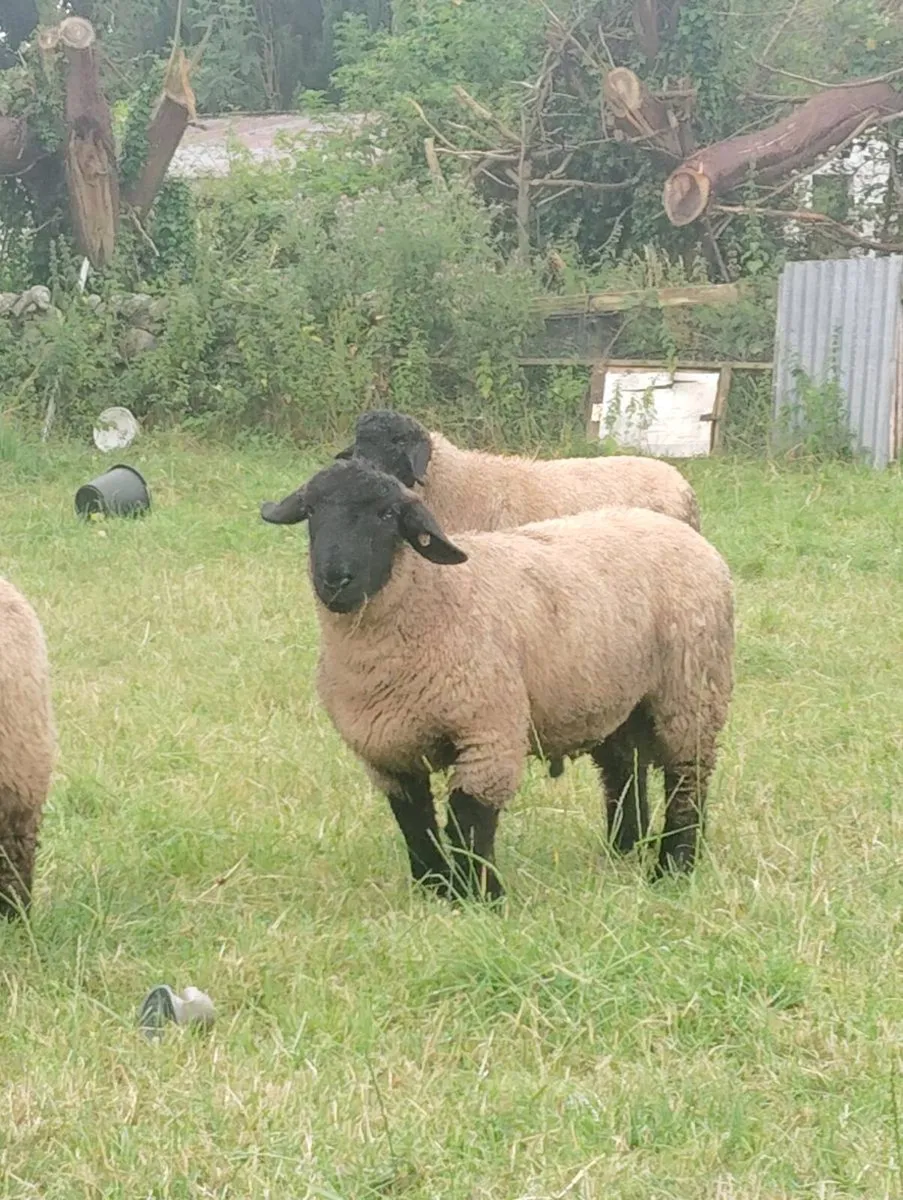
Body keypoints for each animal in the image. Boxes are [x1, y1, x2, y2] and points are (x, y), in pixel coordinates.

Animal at [260, 458, 734, 900]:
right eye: (312, 511)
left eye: (387, 514)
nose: (335, 580)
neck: (431, 596)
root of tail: (682, 531)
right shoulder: (386, 751)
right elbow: (415, 821)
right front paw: (434, 888)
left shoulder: (488, 731)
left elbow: (469, 819)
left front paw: (481, 896)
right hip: (618, 696)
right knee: (625, 771)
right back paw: (623, 850)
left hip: (692, 689)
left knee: (687, 776)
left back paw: (673, 867)